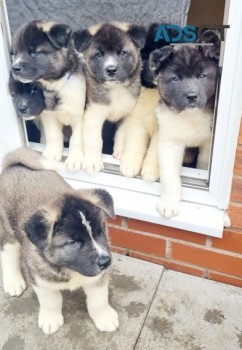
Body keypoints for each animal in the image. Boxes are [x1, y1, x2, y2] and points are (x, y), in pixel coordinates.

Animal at [0, 147, 119, 334]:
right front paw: (50, 319)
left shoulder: (98, 279)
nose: (106, 262)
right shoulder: (41, 280)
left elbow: (99, 300)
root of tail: (13, 166)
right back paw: (13, 282)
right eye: (73, 242)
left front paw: (104, 317)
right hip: (7, 230)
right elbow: (51, 301)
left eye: (100, 232)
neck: (69, 269)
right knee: (8, 254)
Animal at [10, 20, 86, 171]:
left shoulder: (79, 115)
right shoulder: (49, 116)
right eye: (15, 53)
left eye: (34, 52)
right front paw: (52, 155)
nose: (14, 68)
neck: (56, 85)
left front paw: (75, 159)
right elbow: (53, 135)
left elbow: (76, 139)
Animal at [73, 21, 146, 174]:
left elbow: (122, 135)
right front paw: (93, 162)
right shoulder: (93, 114)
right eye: (99, 54)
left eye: (123, 52)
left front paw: (120, 152)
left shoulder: (126, 114)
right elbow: (94, 140)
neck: (115, 89)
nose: (111, 70)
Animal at [148, 30, 220, 216]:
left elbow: (202, 165)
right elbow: (169, 178)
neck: (189, 116)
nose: (192, 96)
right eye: (176, 78)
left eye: (202, 76)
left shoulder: (208, 143)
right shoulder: (170, 143)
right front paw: (169, 204)